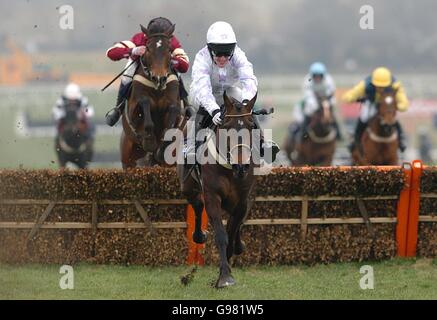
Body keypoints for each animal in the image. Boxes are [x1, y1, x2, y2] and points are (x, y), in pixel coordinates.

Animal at [120, 18, 181, 169]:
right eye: (148, 48)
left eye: (169, 49)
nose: (159, 78)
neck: (157, 89)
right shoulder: (133, 110)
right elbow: (145, 102)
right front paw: (149, 140)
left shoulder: (174, 104)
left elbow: (173, 111)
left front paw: (161, 150)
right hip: (128, 159)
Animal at [176, 91, 258, 288]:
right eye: (227, 126)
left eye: (251, 125)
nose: (242, 166)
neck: (230, 169)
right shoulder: (212, 196)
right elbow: (221, 235)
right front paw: (225, 276)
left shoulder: (242, 200)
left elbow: (233, 229)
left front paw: (225, 269)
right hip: (187, 187)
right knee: (198, 205)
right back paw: (199, 235)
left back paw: (239, 245)